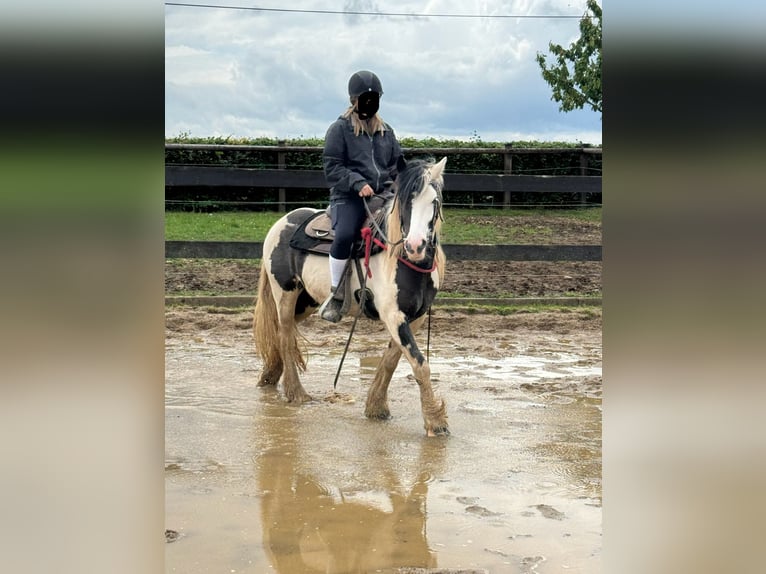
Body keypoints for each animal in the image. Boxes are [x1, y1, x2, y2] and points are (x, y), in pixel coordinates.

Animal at [255, 158, 450, 436]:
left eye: (434, 202)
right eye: (405, 201)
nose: (415, 246)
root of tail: (282, 222)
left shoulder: (414, 318)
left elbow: (391, 360)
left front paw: (376, 407)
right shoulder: (393, 316)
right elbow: (420, 364)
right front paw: (435, 421)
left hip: (307, 301)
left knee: (286, 332)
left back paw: (271, 375)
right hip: (285, 294)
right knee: (283, 335)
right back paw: (297, 393)